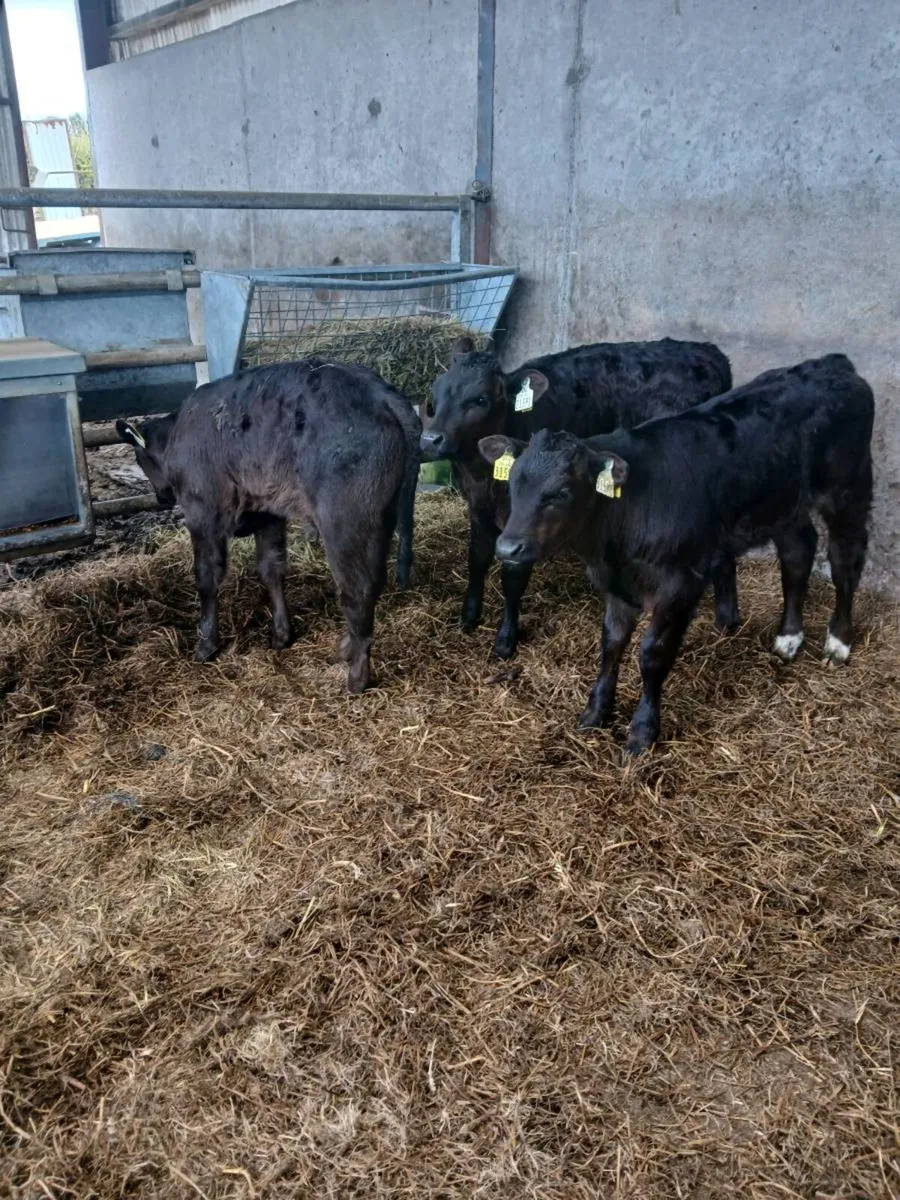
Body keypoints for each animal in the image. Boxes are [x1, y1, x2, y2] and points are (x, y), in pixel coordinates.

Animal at [117, 358, 421, 693]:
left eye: (139, 457)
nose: (161, 497)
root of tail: (381, 394)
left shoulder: (203, 512)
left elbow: (206, 576)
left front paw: (206, 644)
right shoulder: (268, 513)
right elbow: (271, 569)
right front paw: (281, 634)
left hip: (345, 522)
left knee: (358, 590)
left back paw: (356, 675)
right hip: (383, 516)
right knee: (374, 582)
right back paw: (344, 649)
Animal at [420, 336, 735, 659]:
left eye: (480, 399)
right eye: (436, 393)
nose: (431, 439)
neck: (481, 474)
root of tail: (706, 350)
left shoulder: (521, 518)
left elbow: (513, 576)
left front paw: (506, 639)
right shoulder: (478, 508)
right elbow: (477, 559)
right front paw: (469, 617)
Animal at [479, 353, 874, 756]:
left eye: (560, 492)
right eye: (512, 483)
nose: (508, 547)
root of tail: (831, 364)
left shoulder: (679, 584)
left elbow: (652, 654)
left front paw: (642, 732)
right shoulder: (617, 585)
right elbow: (611, 643)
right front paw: (595, 712)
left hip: (847, 487)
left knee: (845, 558)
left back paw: (838, 642)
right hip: (783, 502)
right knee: (798, 552)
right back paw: (789, 638)